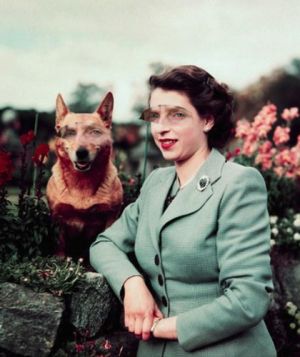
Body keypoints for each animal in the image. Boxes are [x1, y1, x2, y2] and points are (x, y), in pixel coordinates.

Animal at [46, 92, 123, 258]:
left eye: (94, 132)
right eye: (70, 133)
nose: (81, 152)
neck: (82, 182)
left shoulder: (111, 216)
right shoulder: (57, 217)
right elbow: (60, 245)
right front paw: (59, 260)